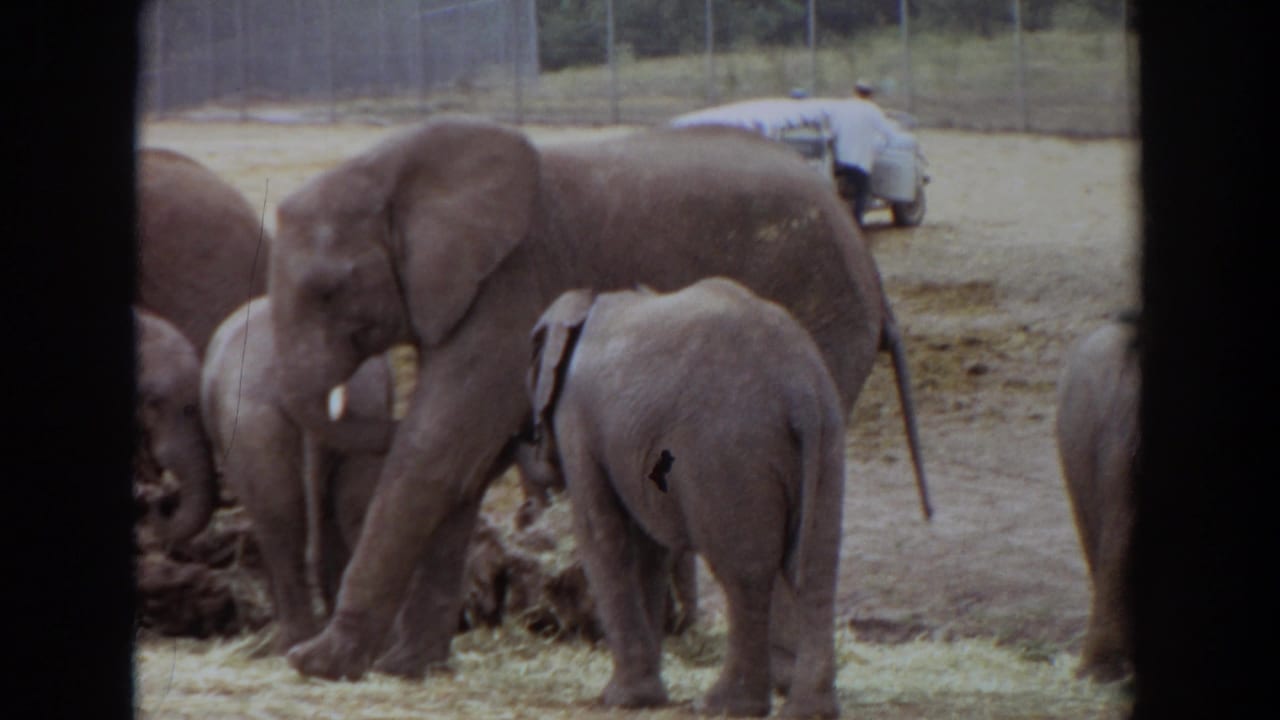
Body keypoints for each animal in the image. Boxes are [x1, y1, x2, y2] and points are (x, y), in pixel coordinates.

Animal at [527, 279, 847, 718]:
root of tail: (798, 385)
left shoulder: (576, 417)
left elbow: (603, 535)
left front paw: (621, 699)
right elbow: (649, 549)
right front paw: (645, 696)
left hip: (727, 454)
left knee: (745, 574)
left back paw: (722, 704)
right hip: (828, 435)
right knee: (815, 565)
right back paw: (809, 710)